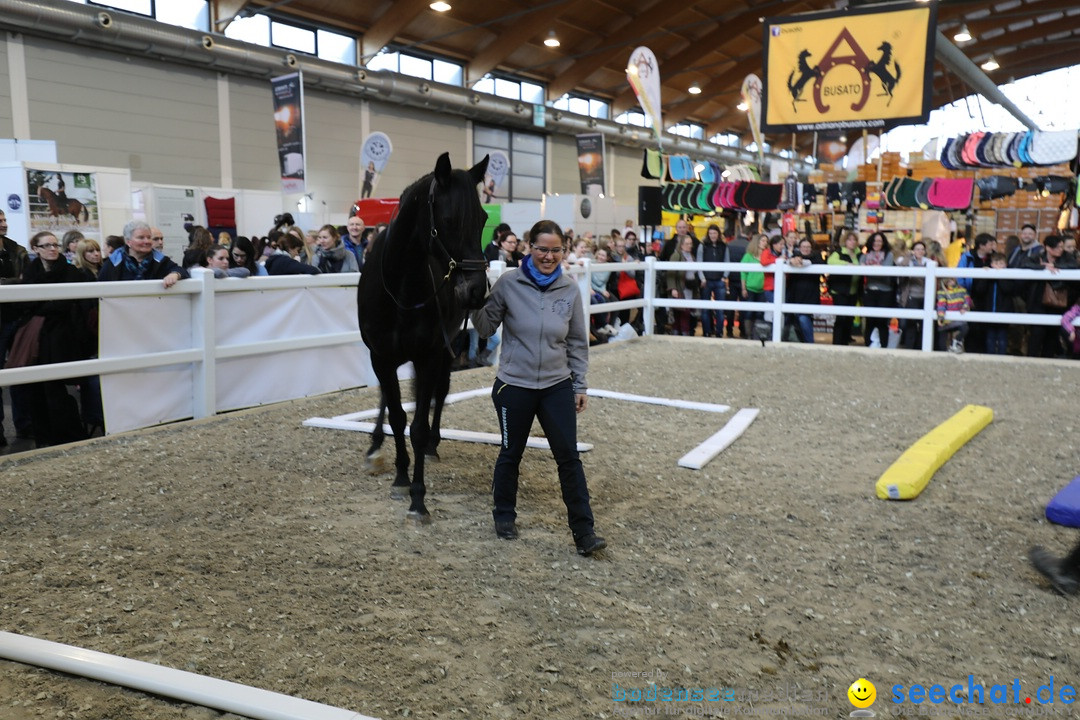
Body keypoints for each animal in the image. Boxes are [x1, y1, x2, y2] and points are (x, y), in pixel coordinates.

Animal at [356, 153, 492, 524]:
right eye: (449, 219)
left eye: (484, 218)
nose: (476, 291)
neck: (401, 287)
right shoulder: (380, 356)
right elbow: (398, 416)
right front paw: (401, 478)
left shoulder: (428, 354)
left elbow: (416, 424)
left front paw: (418, 497)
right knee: (391, 400)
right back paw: (375, 444)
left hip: (444, 347)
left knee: (438, 393)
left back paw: (432, 443)